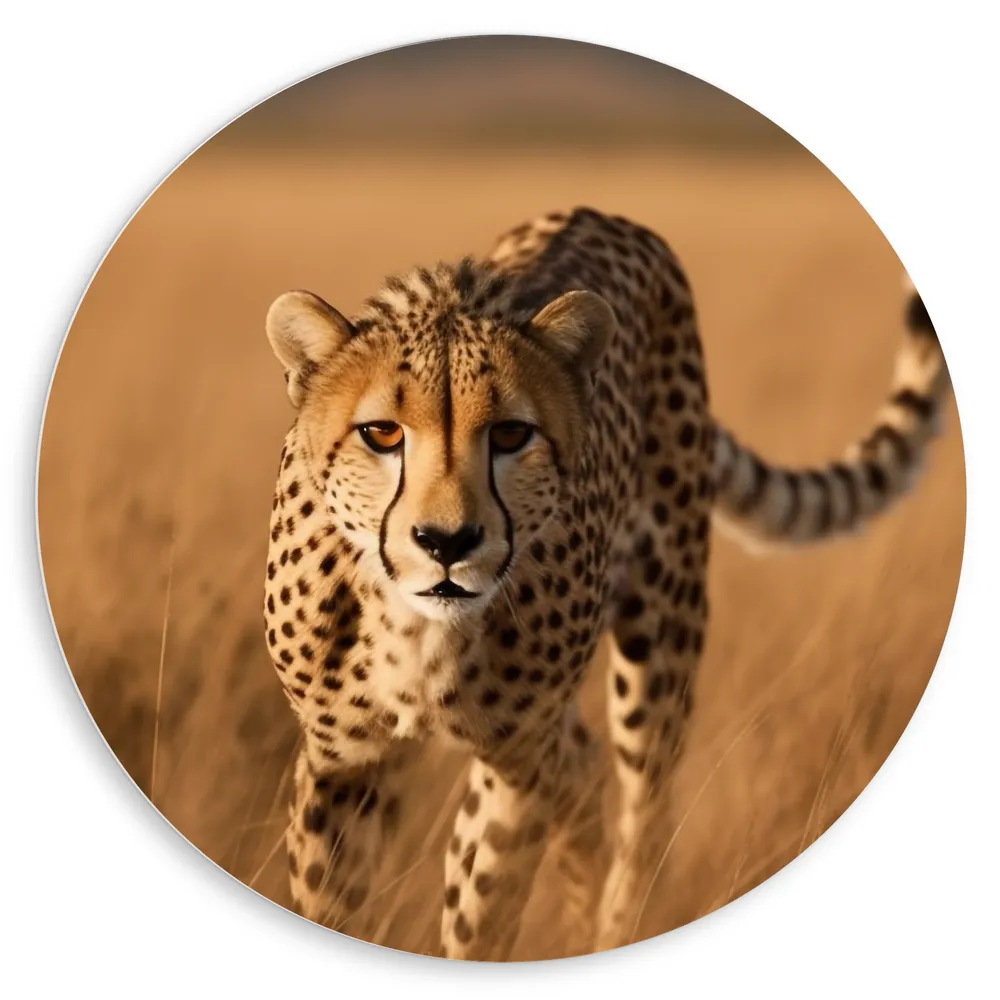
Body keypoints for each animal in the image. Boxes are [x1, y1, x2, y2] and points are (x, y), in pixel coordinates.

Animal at [261, 206, 949, 960]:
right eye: (381, 434)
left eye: (511, 435)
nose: (447, 542)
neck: (418, 628)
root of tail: (597, 214)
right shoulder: (341, 762)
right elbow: (332, 904)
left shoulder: (517, 763)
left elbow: (482, 917)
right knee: (584, 768)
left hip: (661, 639)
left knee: (643, 812)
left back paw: (619, 925)